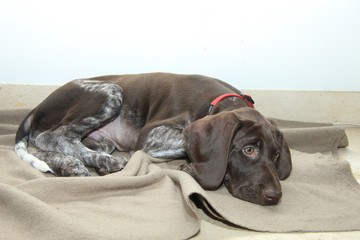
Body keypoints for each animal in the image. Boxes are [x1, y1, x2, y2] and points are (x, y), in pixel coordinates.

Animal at [15, 72, 292, 205]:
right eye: (248, 150)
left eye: (276, 155)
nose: (275, 196)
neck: (215, 102)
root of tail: (37, 108)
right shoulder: (149, 136)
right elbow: (185, 141)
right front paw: (194, 168)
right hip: (111, 91)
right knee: (51, 136)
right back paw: (98, 163)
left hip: (103, 139)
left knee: (45, 146)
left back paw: (72, 165)